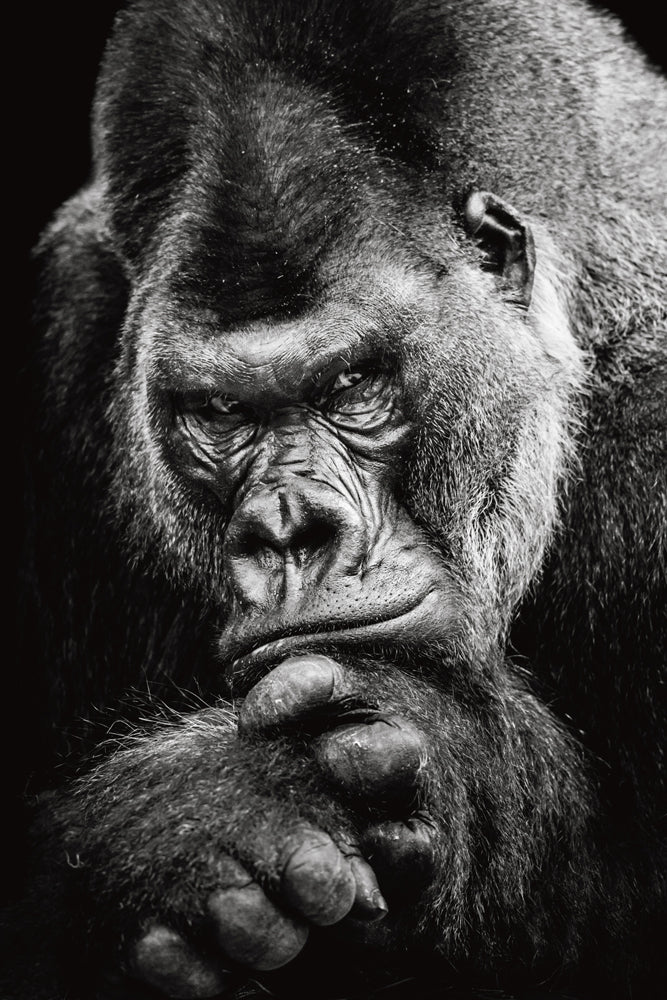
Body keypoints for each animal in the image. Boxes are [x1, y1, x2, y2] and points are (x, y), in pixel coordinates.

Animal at [8, 1, 666, 998]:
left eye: (354, 385)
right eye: (219, 413)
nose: (288, 529)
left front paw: (456, 762)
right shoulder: (66, 327)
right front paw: (188, 824)